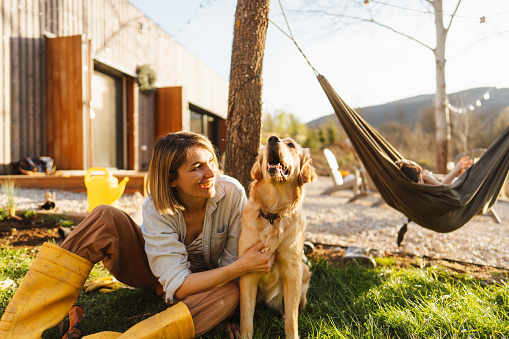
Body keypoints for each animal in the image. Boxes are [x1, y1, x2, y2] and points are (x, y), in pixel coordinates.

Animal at [237, 136, 314, 339]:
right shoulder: (248, 270)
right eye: (266, 145)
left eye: (291, 145)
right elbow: (246, 316)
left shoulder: (293, 270)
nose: (272, 139)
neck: (273, 213)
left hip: (304, 271)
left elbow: (292, 319)